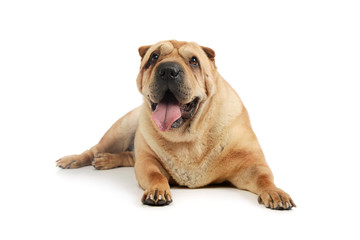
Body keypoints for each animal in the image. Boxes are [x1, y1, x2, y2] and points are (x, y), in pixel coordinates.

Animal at [56, 39, 296, 210]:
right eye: (154, 57)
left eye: (194, 61)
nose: (168, 70)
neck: (190, 136)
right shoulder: (147, 160)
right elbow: (156, 174)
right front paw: (158, 191)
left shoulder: (250, 164)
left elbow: (264, 177)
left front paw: (276, 192)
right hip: (120, 129)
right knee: (95, 150)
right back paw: (75, 160)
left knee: (128, 157)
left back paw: (105, 160)